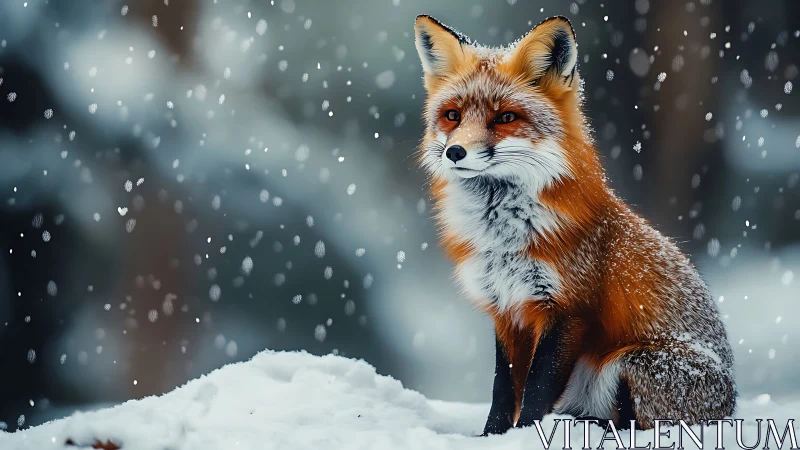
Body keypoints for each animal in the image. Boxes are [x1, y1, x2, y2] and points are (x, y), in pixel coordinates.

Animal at [413, 15, 736, 435]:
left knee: (638, 425)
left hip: (629, 362)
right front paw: (491, 436)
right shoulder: (507, 309)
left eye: (505, 117)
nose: (455, 152)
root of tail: (729, 409)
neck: (502, 239)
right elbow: (504, 388)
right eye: (452, 115)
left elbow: (536, 389)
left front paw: (527, 434)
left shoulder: (569, 309)